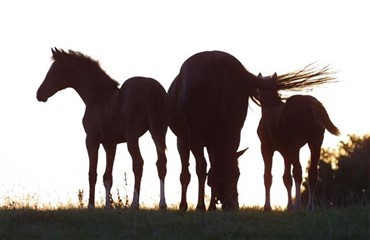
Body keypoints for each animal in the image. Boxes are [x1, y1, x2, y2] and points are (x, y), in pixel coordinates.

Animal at [36, 47, 168, 209]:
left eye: (55, 71)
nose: (39, 94)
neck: (97, 96)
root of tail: (152, 90)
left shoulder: (91, 140)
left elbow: (92, 173)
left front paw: (91, 205)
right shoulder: (110, 144)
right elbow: (107, 176)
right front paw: (107, 207)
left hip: (133, 137)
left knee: (138, 163)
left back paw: (134, 203)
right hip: (159, 132)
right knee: (161, 163)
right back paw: (162, 204)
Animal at [168, 50, 274, 210]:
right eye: (238, 175)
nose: (236, 204)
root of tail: (216, 58)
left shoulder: (182, 140)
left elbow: (187, 174)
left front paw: (184, 205)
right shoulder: (213, 143)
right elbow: (214, 172)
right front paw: (212, 205)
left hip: (195, 135)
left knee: (201, 166)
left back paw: (201, 206)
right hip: (233, 132)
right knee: (225, 164)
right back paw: (220, 205)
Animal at [258, 68, 338, 211]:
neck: (270, 109)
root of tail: (311, 103)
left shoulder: (266, 148)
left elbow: (268, 177)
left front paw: (267, 206)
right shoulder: (286, 153)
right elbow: (286, 178)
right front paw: (288, 206)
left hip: (295, 146)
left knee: (298, 172)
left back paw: (298, 205)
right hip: (315, 143)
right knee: (312, 173)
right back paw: (309, 206)